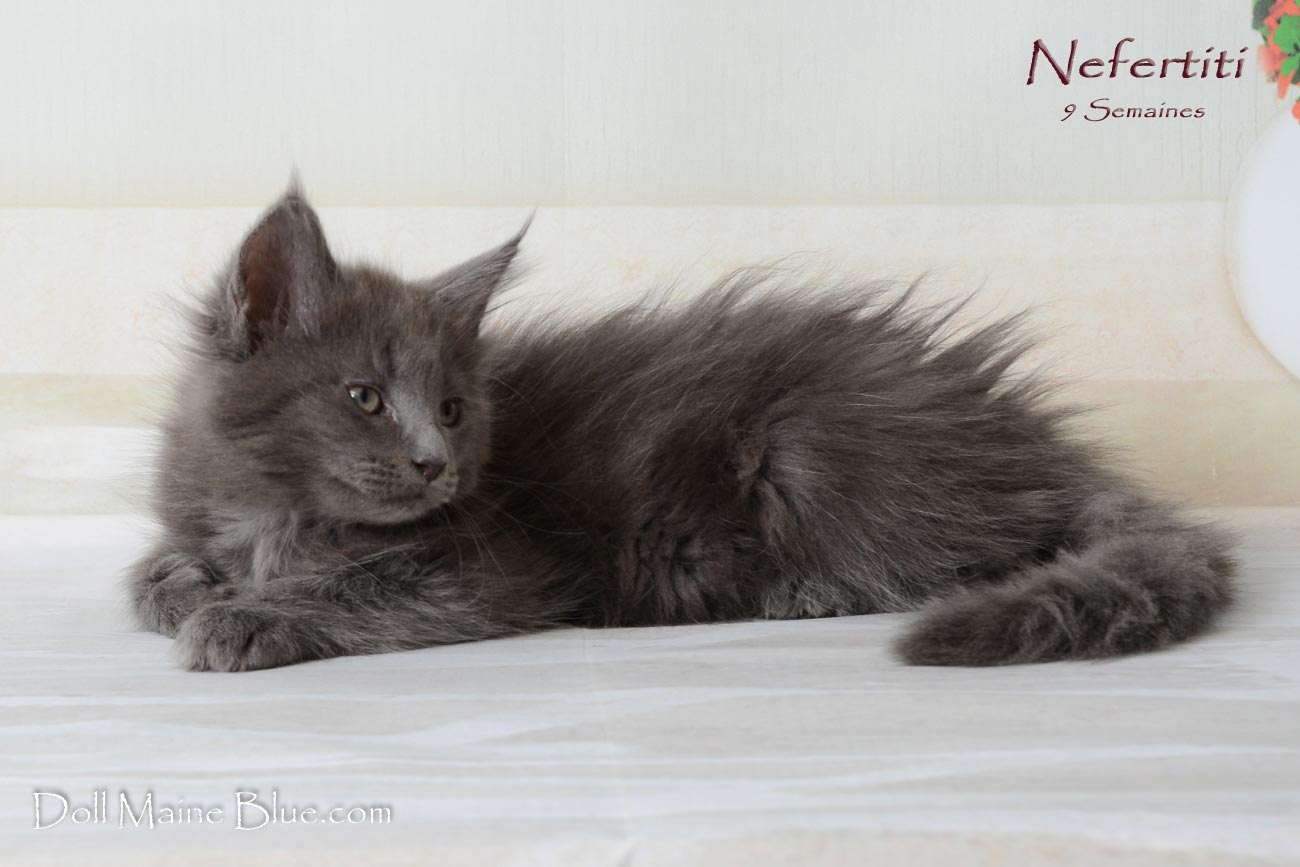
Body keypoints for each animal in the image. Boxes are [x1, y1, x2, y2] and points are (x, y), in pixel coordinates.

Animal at [128, 184, 1236, 671]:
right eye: (363, 397)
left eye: (450, 408)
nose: (435, 463)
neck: (265, 509)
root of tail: (1026, 440)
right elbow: (154, 569)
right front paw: (182, 584)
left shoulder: (498, 568)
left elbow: (360, 588)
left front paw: (243, 616)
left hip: (812, 447)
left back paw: (803, 591)